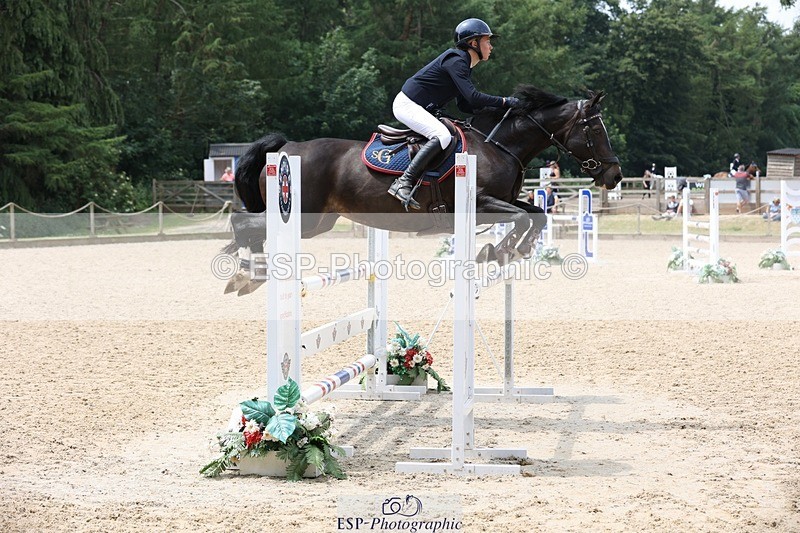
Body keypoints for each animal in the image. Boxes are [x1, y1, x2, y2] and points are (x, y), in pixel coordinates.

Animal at [228, 86, 622, 287]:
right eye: (594, 129)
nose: (615, 176)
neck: (499, 145)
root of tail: (286, 147)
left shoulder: (504, 201)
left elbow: (536, 215)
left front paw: (511, 251)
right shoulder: (480, 203)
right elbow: (523, 219)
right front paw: (495, 252)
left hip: (318, 222)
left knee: (252, 226)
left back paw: (249, 269)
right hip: (304, 217)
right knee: (243, 221)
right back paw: (247, 270)